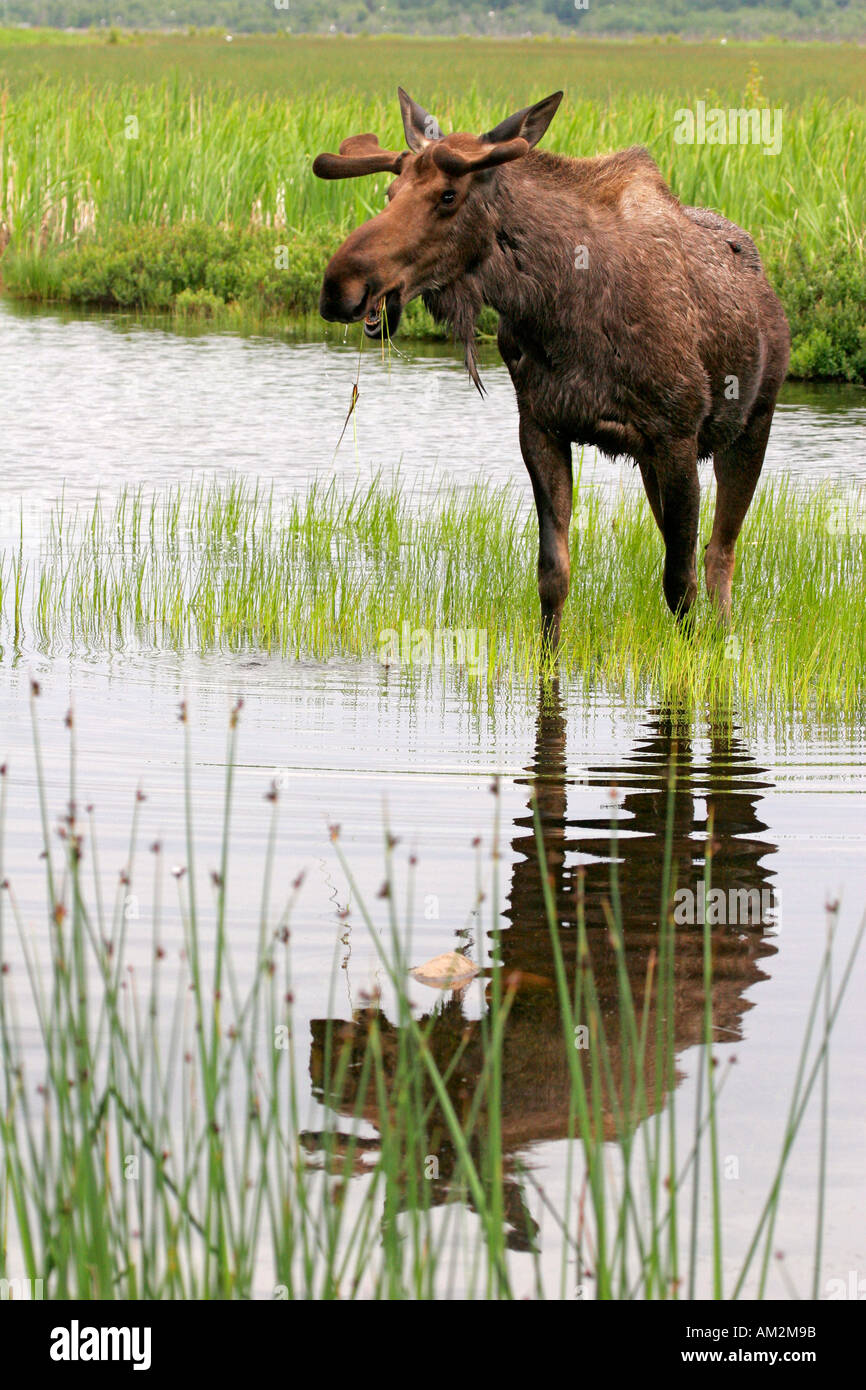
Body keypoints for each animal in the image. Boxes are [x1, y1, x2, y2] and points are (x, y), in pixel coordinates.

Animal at [312, 92, 795, 644]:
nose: (341, 285)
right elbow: (553, 576)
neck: (554, 305)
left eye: (448, 196)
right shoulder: (542, 426)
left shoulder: (675, 435)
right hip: (656, 461)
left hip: (751, 425)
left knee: (721, 553)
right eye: (391, 192)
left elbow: (679, 583)